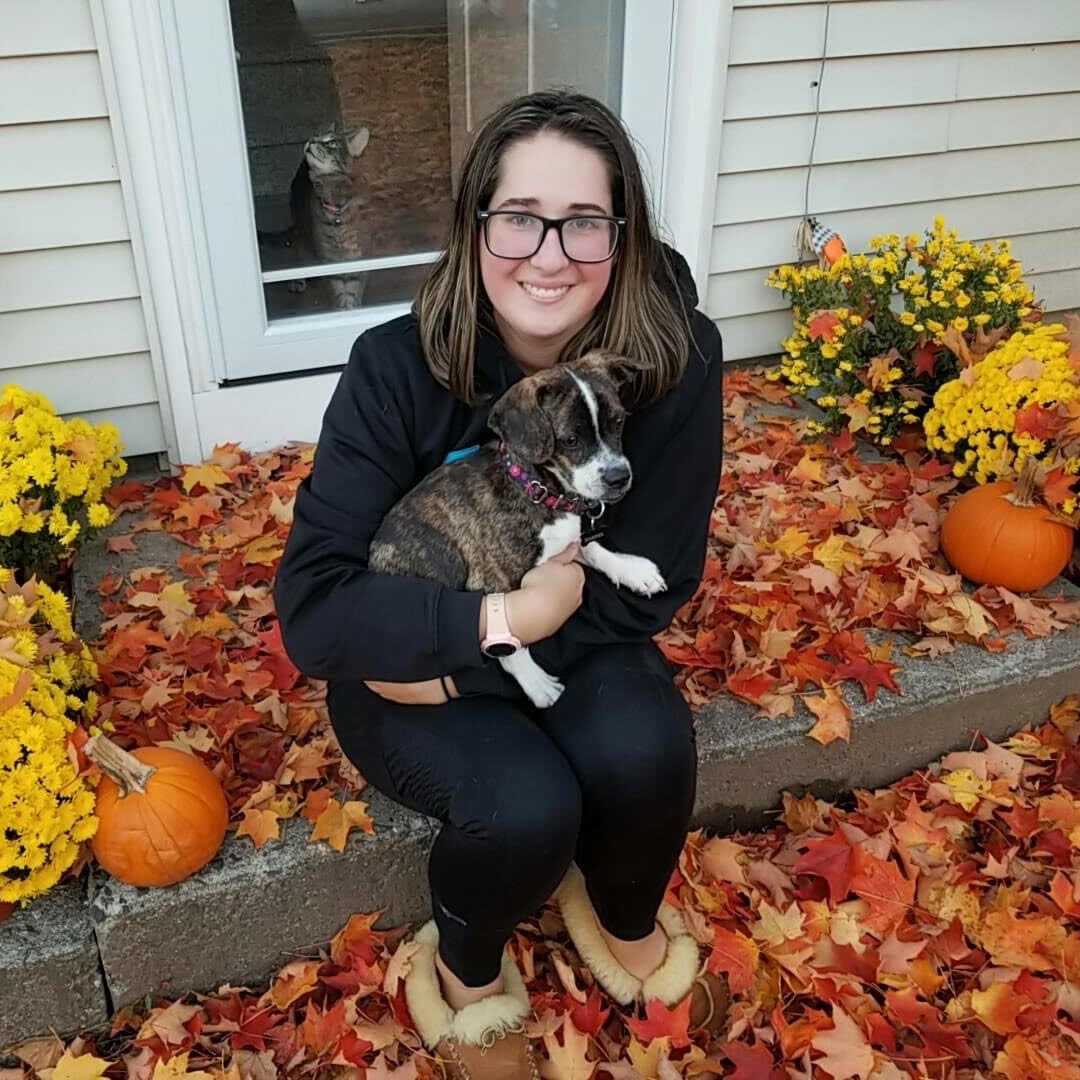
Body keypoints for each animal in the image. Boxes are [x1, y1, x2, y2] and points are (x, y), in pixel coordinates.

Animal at [290, 127, 371, 309]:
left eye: (332, 142)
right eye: (318, 135)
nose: (311, 139)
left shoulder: (358, 256)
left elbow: (353, 293)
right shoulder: (328, 260)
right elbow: (338, 295)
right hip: (300, 225)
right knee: (299, 249)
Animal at [368, 349, 667, 707]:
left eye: (619, 422)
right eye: (570, 440)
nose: (619, 478)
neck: (537, 488)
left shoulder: (563, 544)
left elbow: (591, 547)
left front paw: (632, 570)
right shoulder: (489, 582)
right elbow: (511, 642)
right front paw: (536, 683)